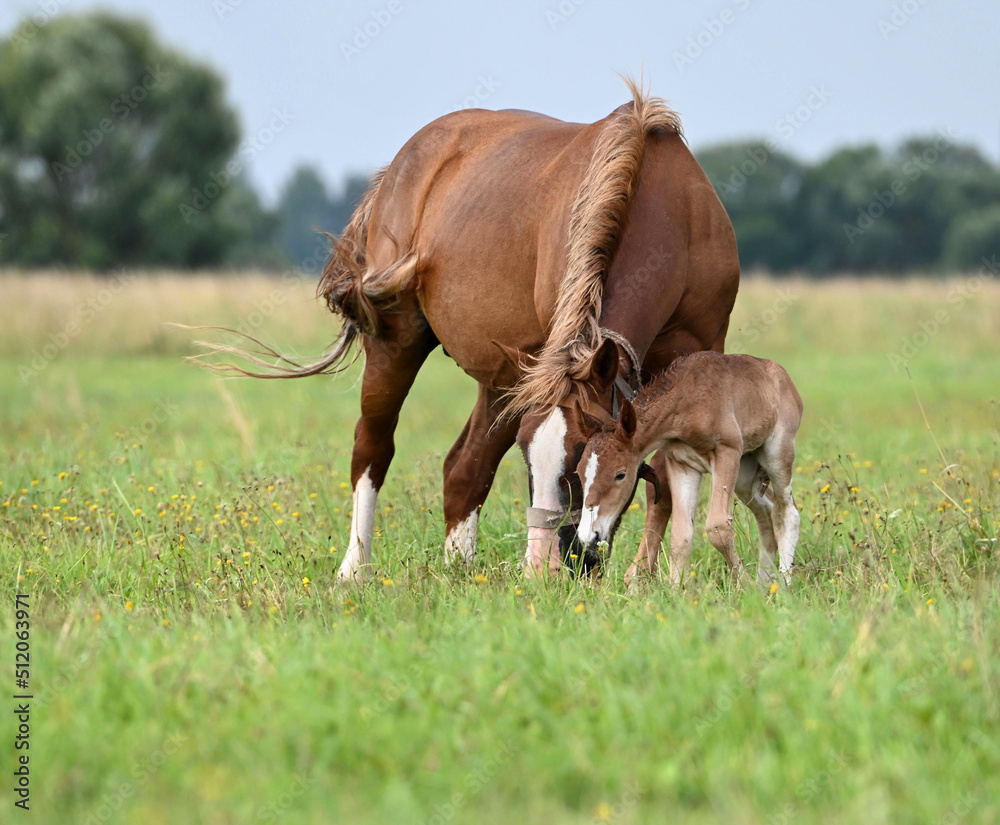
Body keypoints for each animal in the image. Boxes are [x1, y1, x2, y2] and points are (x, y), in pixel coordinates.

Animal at [199, 79, 740, 582]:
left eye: (580, 463)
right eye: (530, 464)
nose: (542, 568)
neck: (663, 204)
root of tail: (405, 162)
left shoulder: (691, 356)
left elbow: (666, 478)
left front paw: (647, 578)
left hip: (503, 378)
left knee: (465, 468)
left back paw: (459, 567)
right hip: (397, 345)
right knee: (373, 448)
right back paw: (354, 570)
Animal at [574, 351, 804, 586]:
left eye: (620, 475)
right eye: (579, 473)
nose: (587, 535)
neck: (686, 401)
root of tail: (782, 375)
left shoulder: (727, 451)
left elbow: (718, 527)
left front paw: (745, 585)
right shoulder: (681, 464)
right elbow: (680, 534)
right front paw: (676, 589)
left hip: (777, 454)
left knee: (788, 512)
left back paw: (783, 583)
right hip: (745, 475)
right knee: (766, 511)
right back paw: (765, 583)